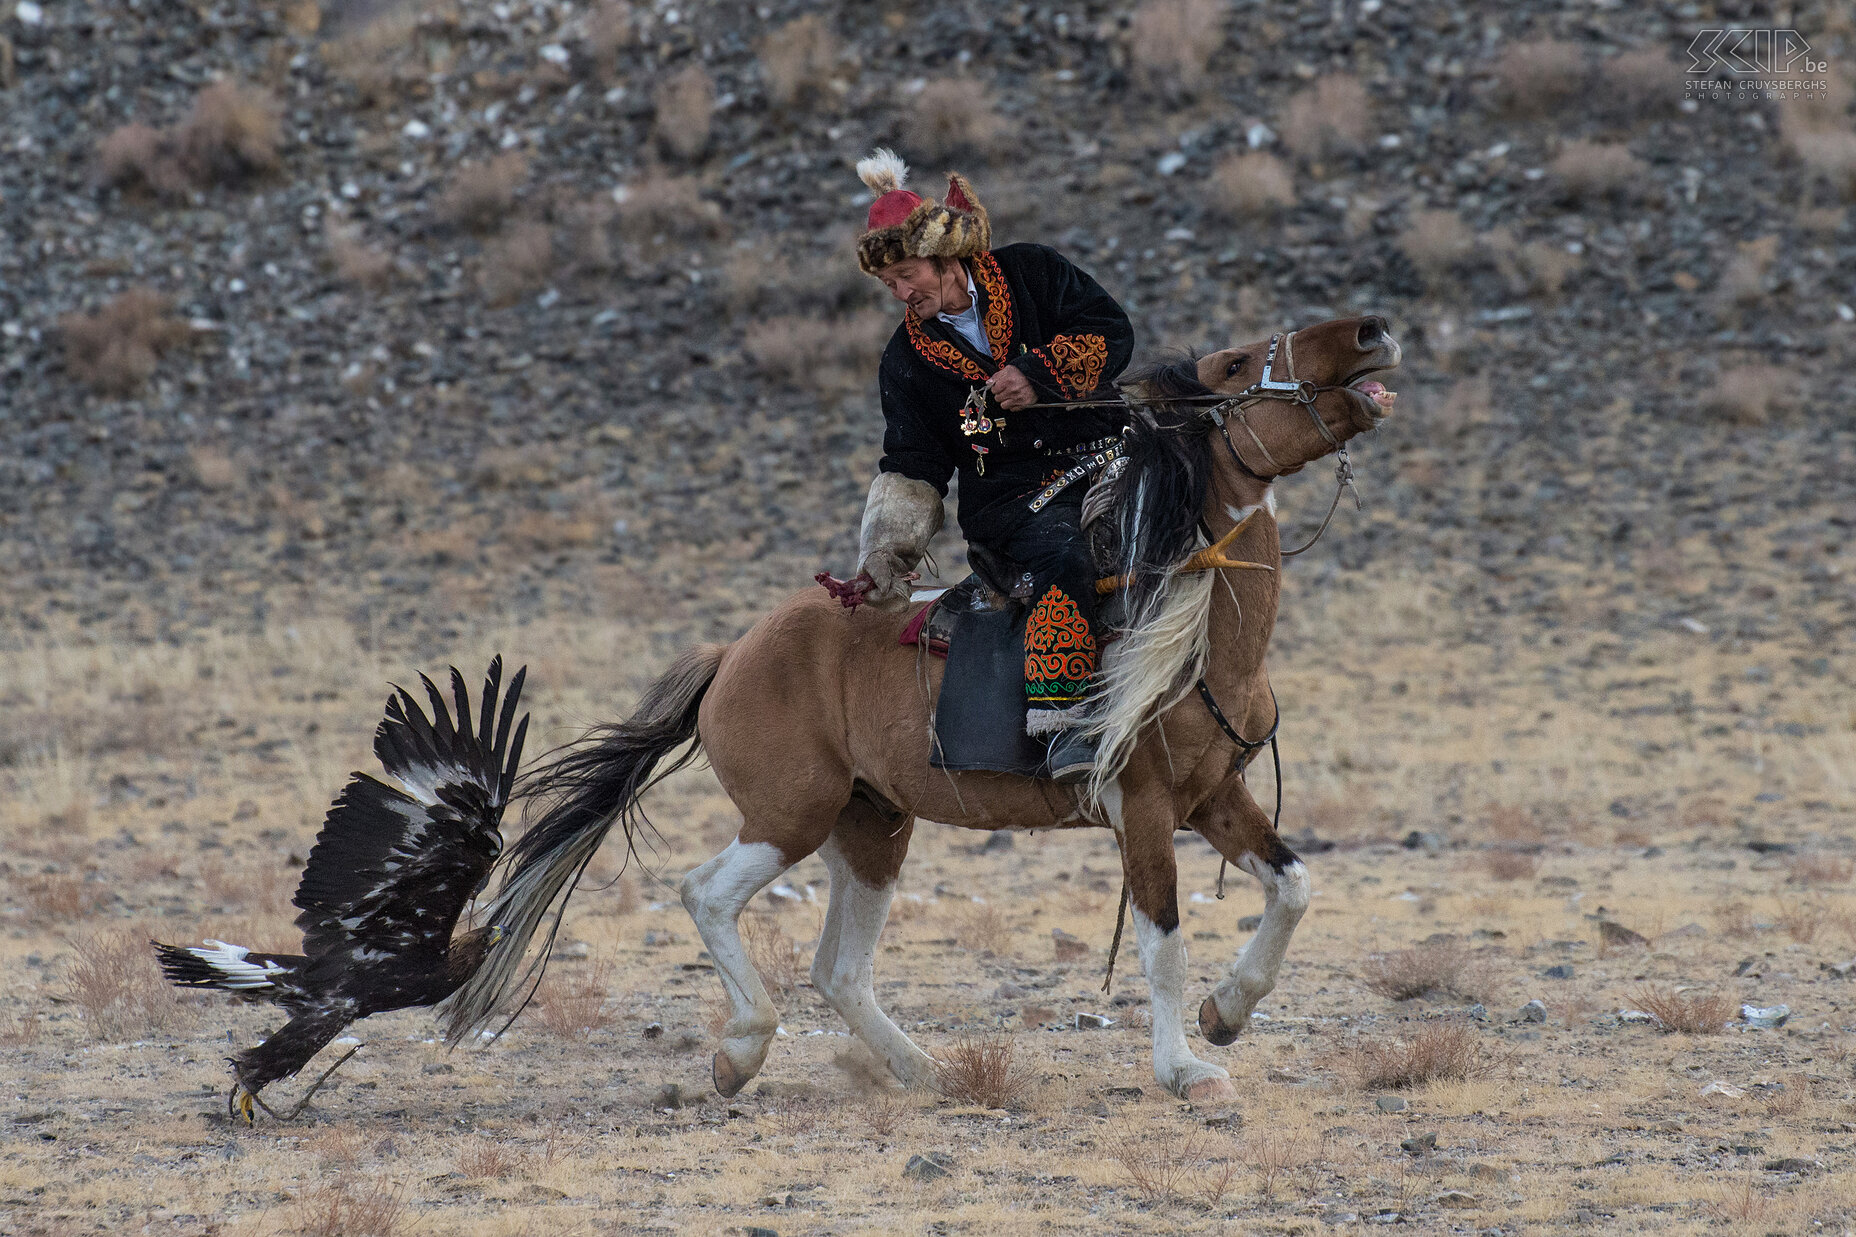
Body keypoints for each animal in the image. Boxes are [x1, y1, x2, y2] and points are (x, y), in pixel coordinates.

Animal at [449, 310, 1395, 1099]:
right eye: (1235, 362)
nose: (1370, 332)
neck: (1192, 627)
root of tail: (731, 657)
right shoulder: (1146, 809)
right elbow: (1163, 946)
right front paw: (1187, 1069)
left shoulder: (1216, 797)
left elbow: (1294, 886)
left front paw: (1227, 1013)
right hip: (790, 814)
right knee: (705, 893)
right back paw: (742, 1049)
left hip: (872, 825)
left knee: (838, 969)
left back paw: (922, 1069)